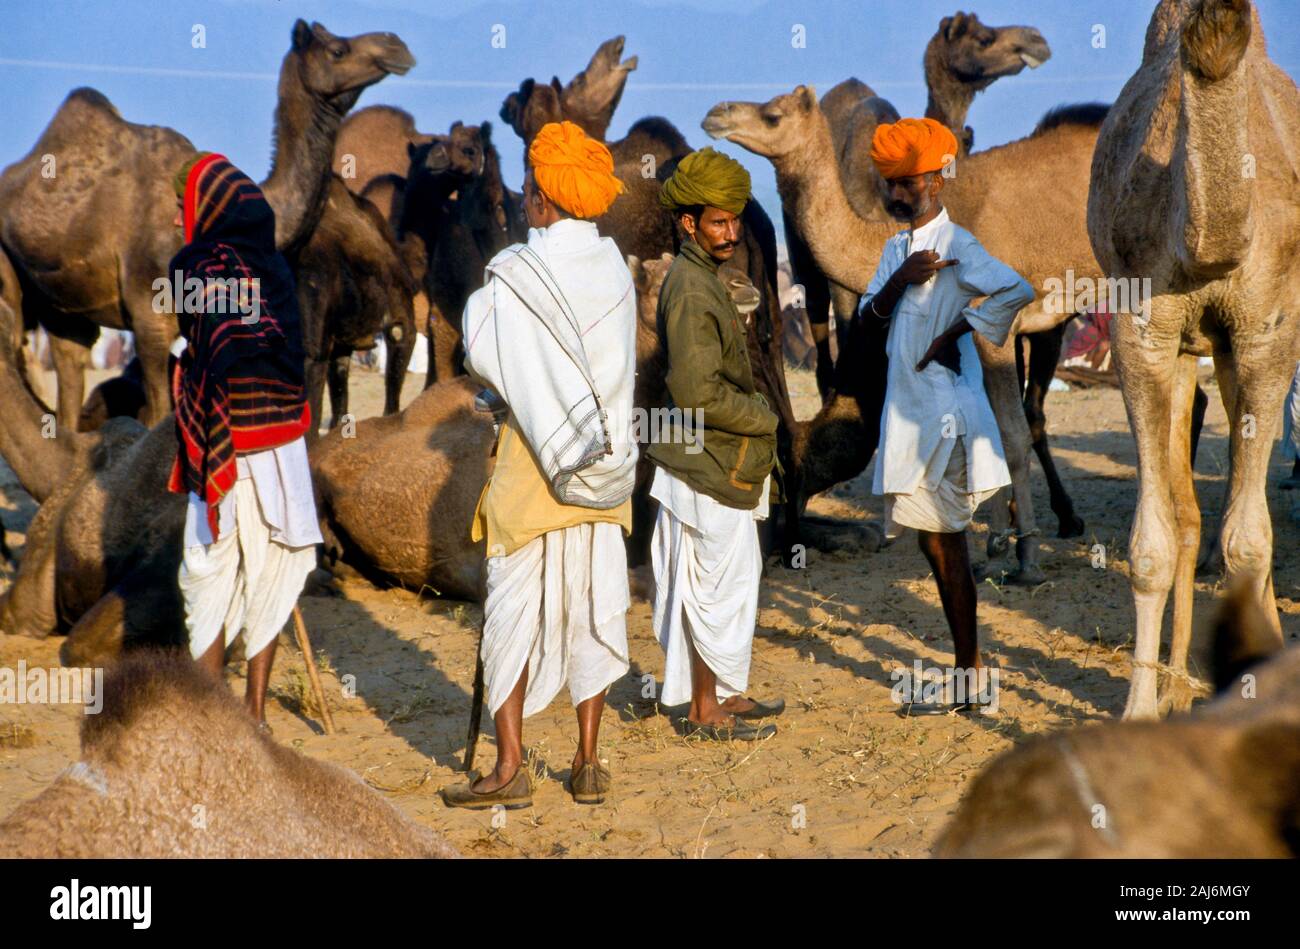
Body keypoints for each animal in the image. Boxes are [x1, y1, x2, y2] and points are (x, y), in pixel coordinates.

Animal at [0, 20, 414, 429]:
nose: (397, 44)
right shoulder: (149, 316)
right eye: (337, 50)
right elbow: (158, 414)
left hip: (64, 309)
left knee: (68, 377)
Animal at [705, 85, 1107, 581]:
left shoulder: (994, 322)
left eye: (773, 115)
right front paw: (994, 546)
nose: (715, 114)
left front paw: (1026, 557)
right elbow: (989, 431)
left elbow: (1011, 437)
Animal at [1086, 0, 1300, 719]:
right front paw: (1139, 710)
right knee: (1186, 514)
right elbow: (1152, 542)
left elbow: (1249, 541)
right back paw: (1178, 685)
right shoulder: (1142, 333)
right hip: (1190, 356)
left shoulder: (1267, 331)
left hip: (1232, 357)